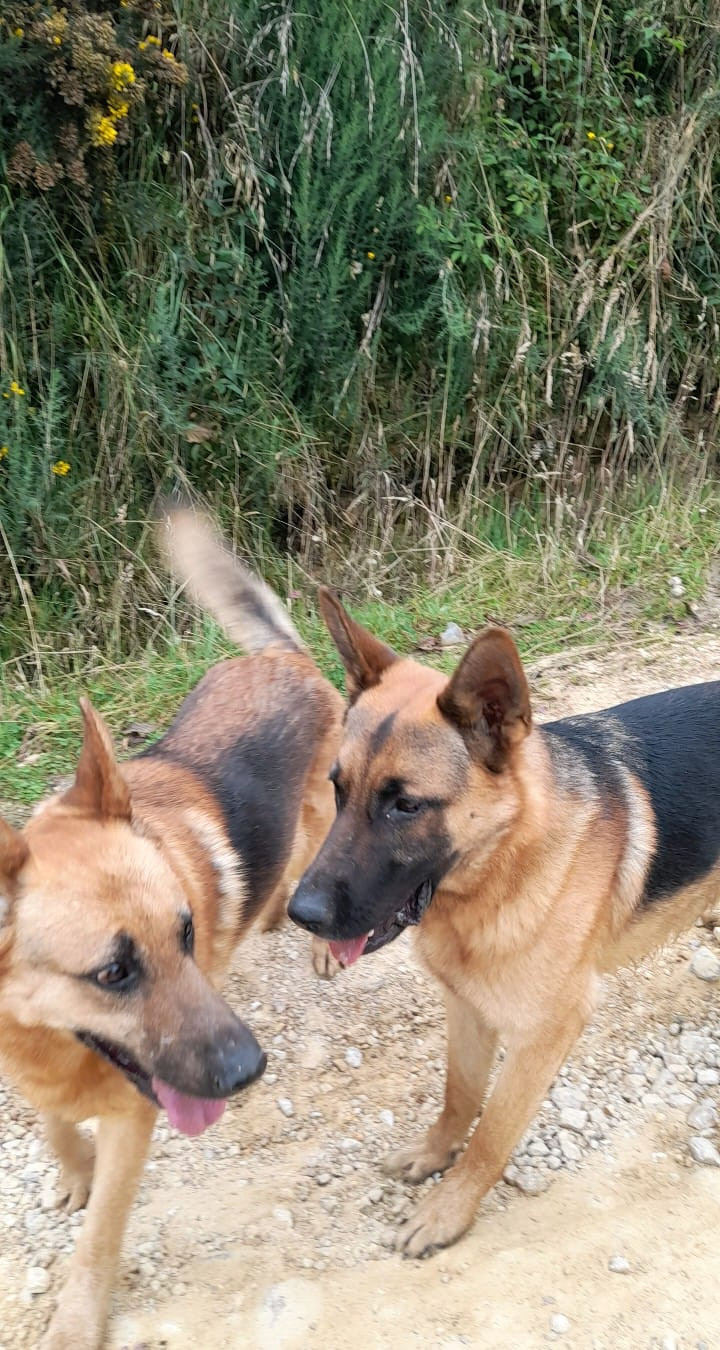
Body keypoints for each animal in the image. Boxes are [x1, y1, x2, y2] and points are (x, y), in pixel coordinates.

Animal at [0, 510, 342, 1348]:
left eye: (185, 933)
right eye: (113, 973)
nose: (251, 1072)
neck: (48, 1036)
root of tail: (284, 658)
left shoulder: (134, 1121)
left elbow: (98, 1240)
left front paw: (76, 1323)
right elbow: (52, 1120)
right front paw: (71, 1169)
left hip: (327, 807)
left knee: (315, 856)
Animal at [289, 590, 720, 1258]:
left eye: (405, 805)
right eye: (338, 789)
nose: (300, 915)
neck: (505, 860)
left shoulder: (545, 1032)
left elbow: (493, 1131)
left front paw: (447, 1212)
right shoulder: (466, 1005)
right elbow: (460, 1094)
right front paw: (434, 1155)